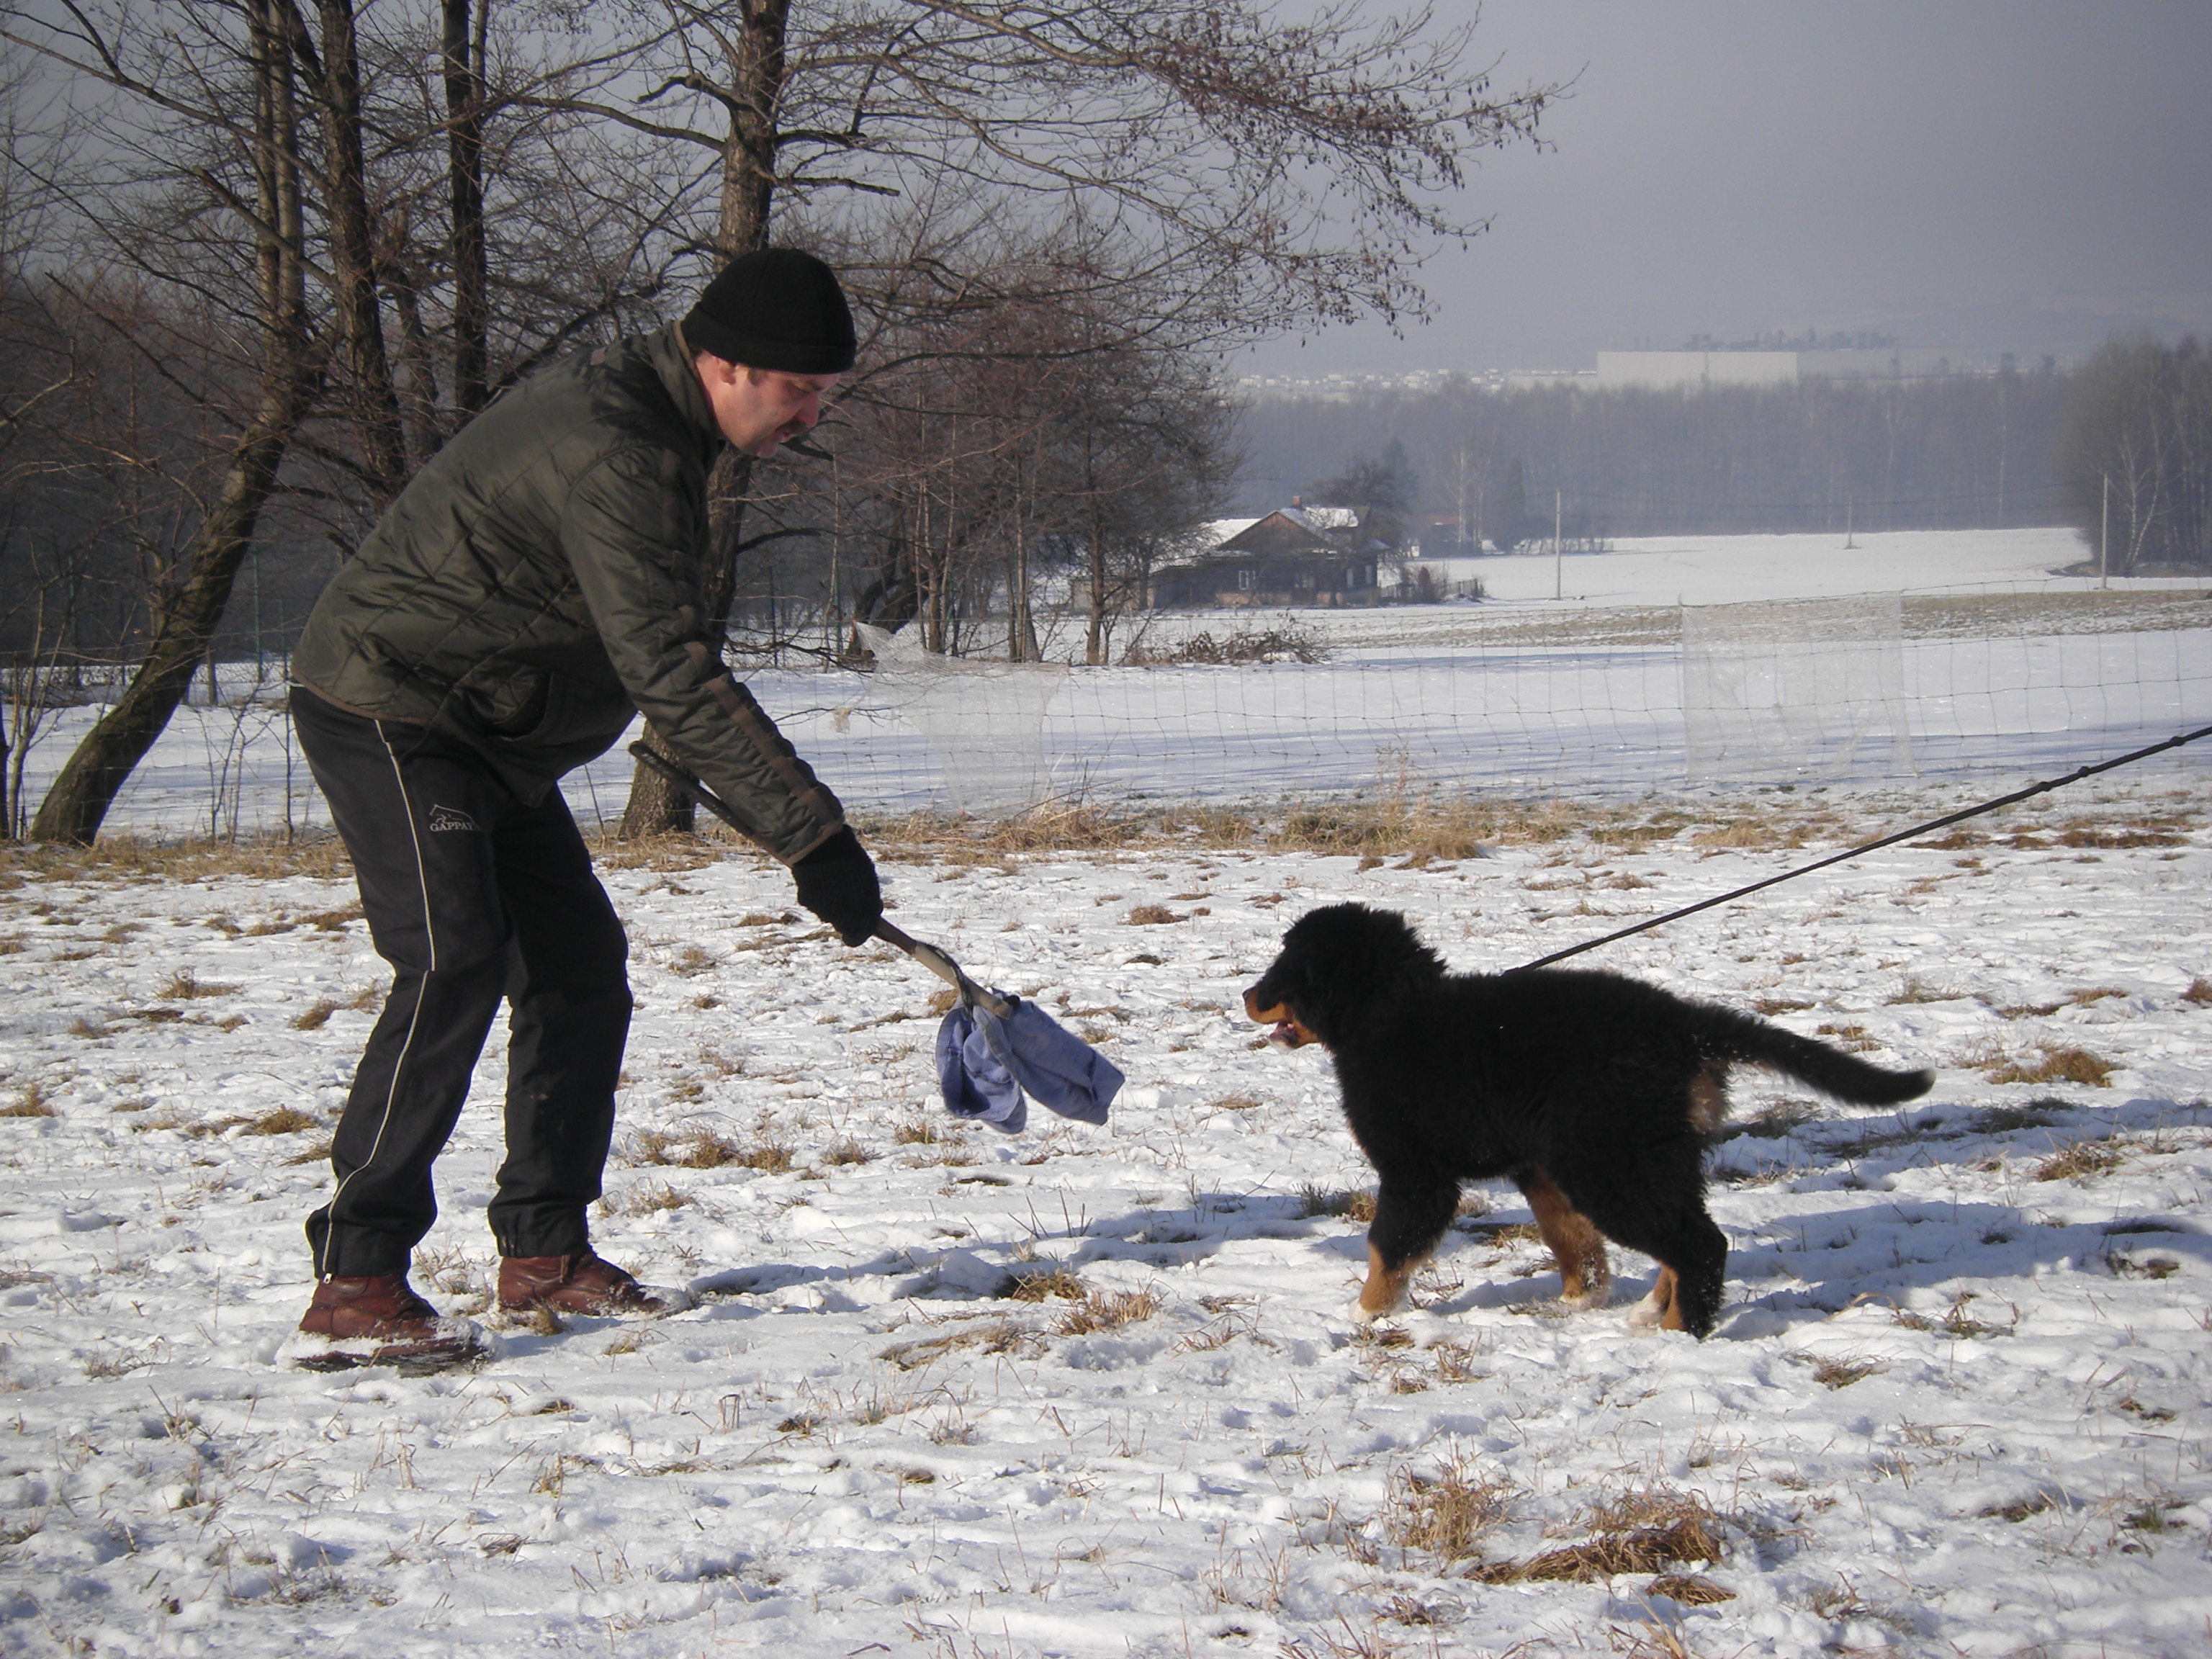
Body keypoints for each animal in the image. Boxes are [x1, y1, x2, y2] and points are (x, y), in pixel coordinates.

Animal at [1247, 902, 1938, 1344]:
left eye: (1286, 964)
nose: (1247, 997)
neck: (1386, 1012)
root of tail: (1686, 1027)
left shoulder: (1415, 1171)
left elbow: (1387, 1245)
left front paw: (1364, 1314)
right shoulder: (1537, 1164)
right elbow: (1570, 1238)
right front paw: (1583, 1297)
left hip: (1611, 1158)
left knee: (1701, 1244)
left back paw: (1680, 1335)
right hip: (1649, 1153)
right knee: (1685, 1237)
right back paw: (1653, 1313)